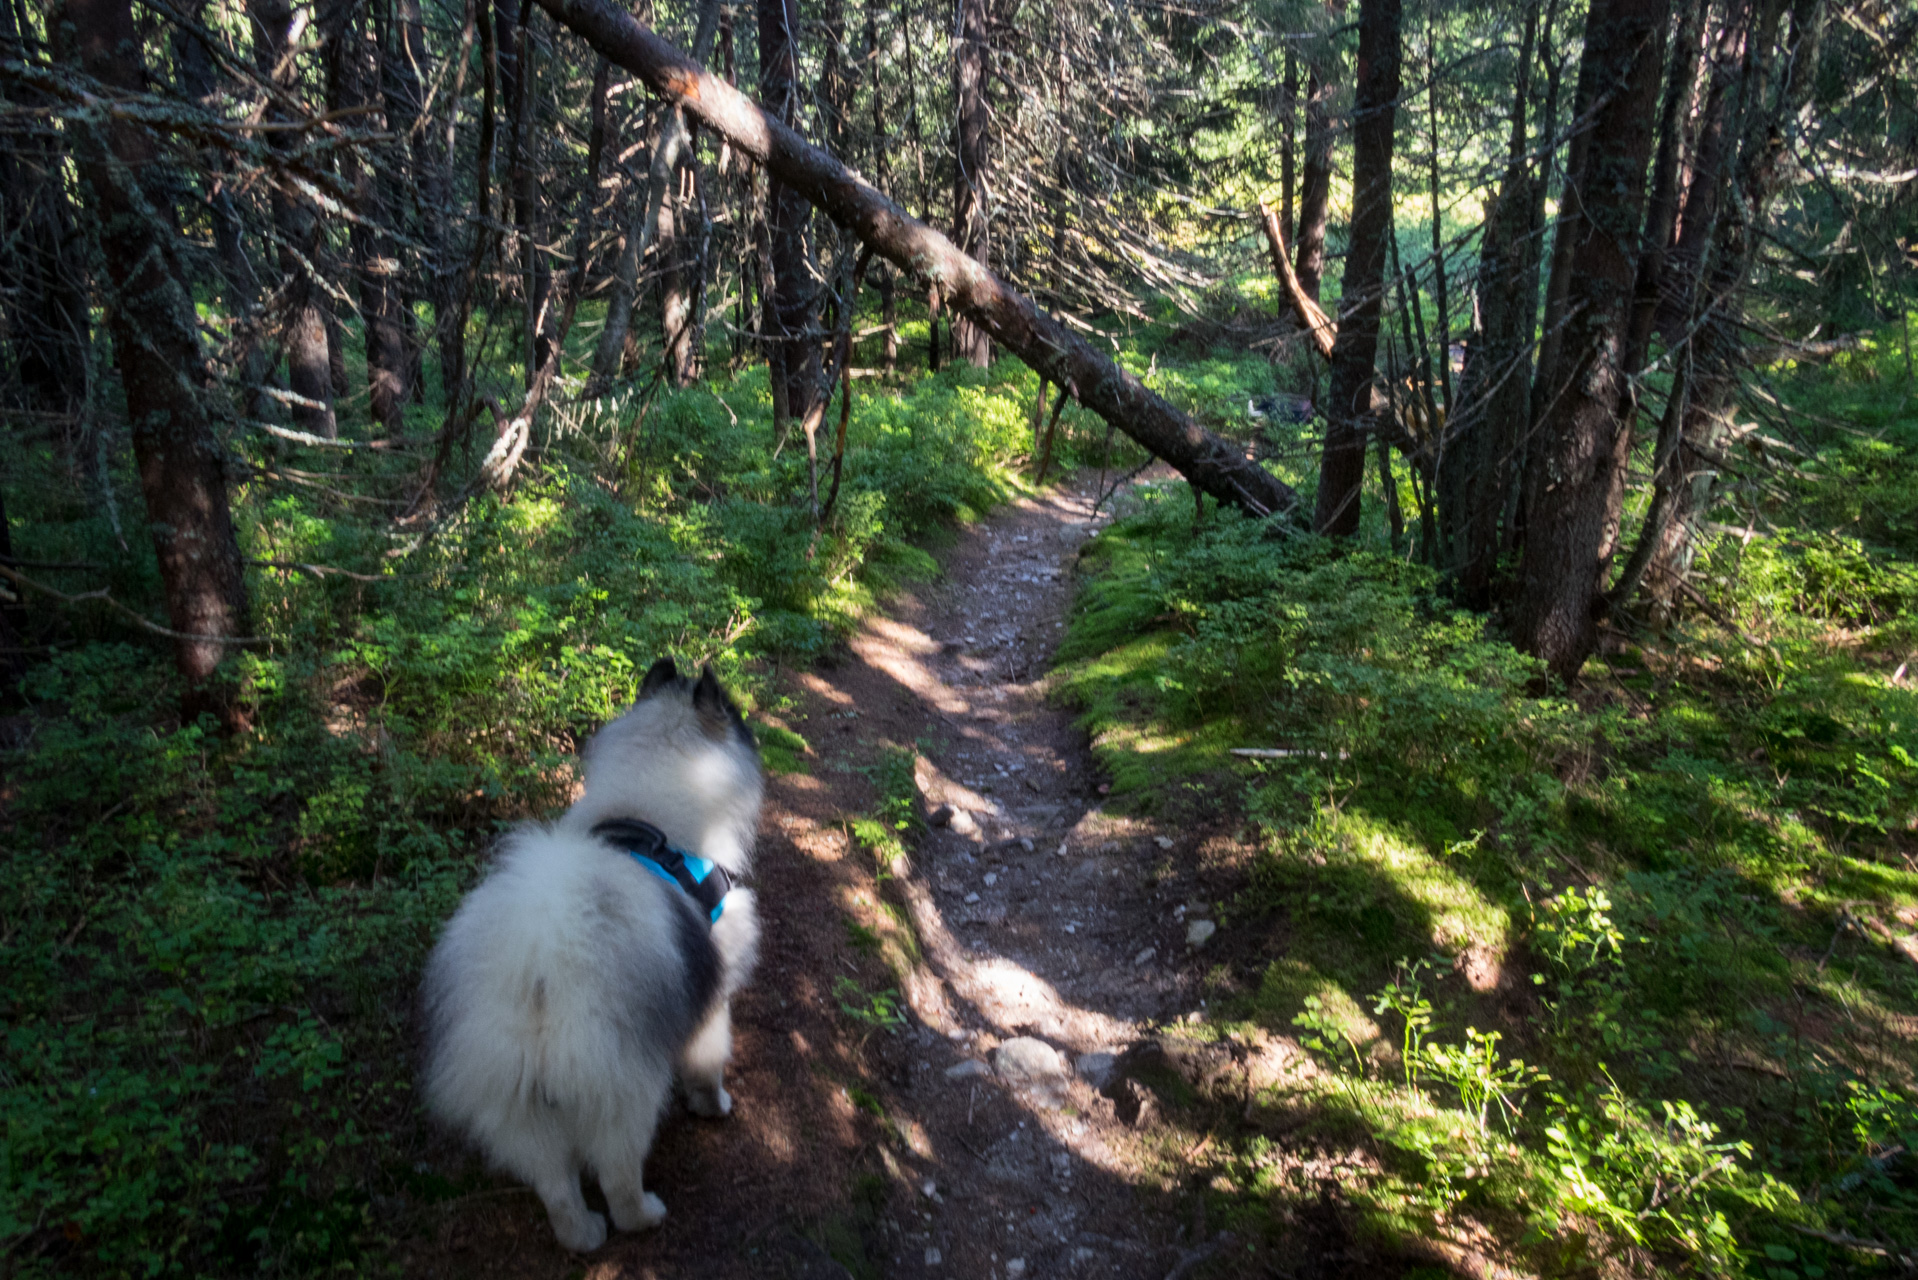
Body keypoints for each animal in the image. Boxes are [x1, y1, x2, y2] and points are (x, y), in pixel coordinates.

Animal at [421, 660, 763, 1251]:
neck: (648, 815)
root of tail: (540, 971)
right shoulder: (712, 998)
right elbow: (709, 1063)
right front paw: (713, 1106)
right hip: (625, 1092)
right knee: (617, 1178)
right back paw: (643, 1215)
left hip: (519, 1106)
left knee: (557, 1189)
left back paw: (582, 1236)